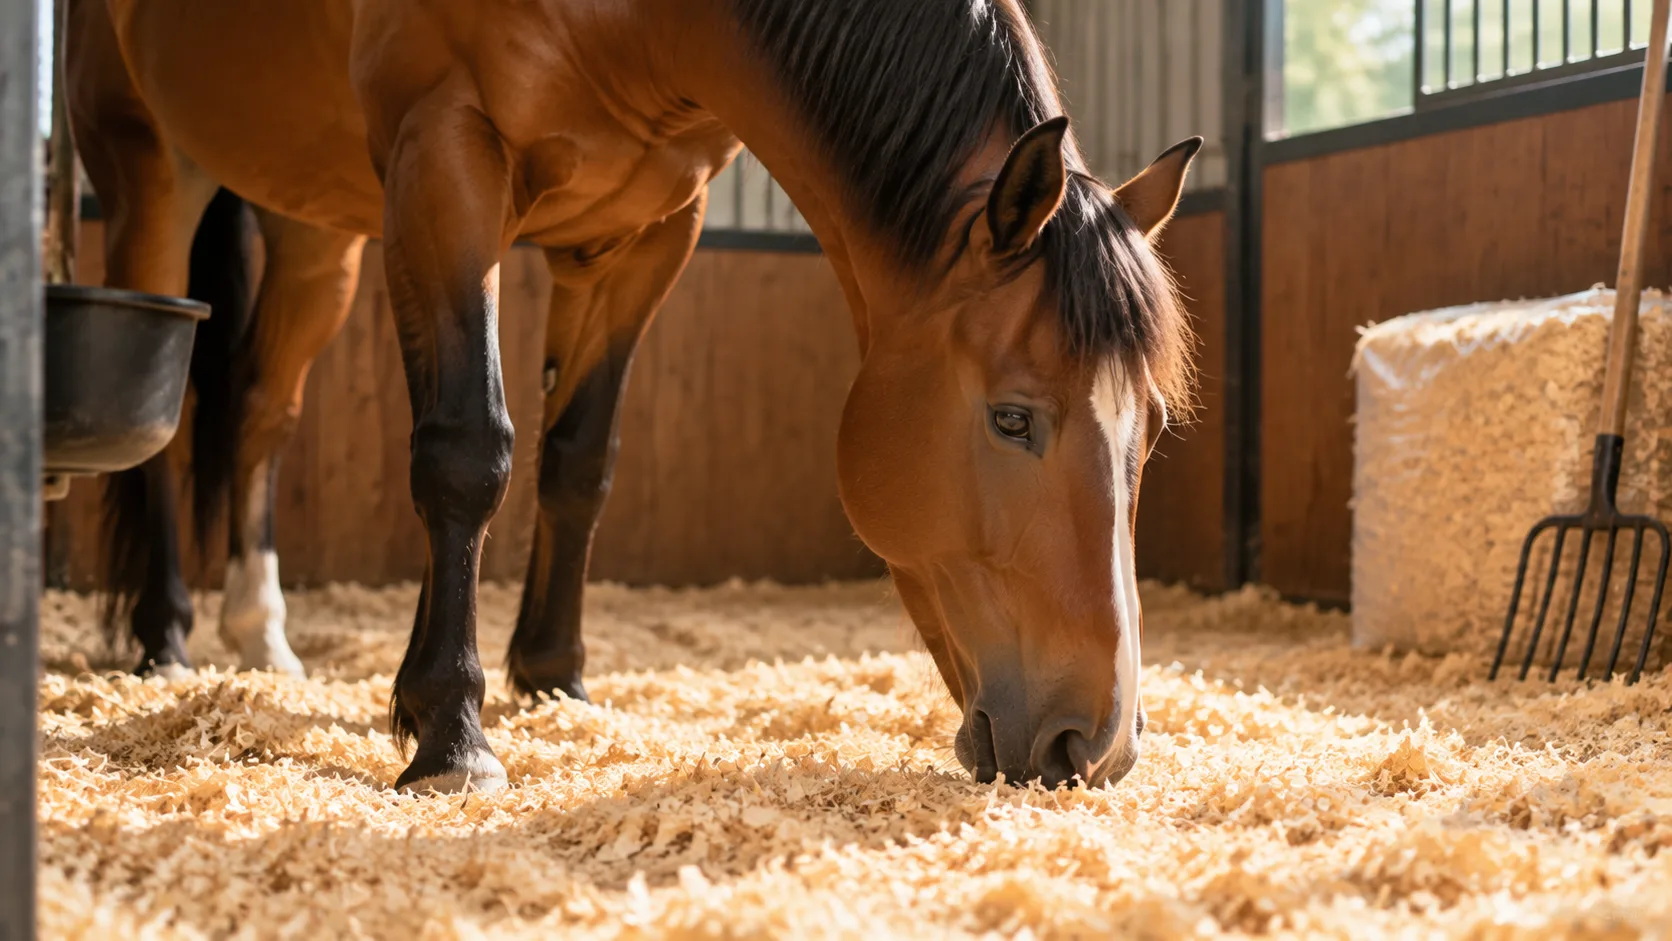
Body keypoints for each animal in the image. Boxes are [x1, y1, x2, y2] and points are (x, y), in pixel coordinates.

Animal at [67, 0, 1198, 793]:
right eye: (1012, 418)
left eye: (1145, 433)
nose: (1096, 742)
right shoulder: (447, 159)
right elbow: (468, 449)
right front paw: (450, 734)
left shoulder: (644, 232)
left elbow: (577, 460)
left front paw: (546, 674)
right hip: (151, 176)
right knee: (167, 415)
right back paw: (164, 634)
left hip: (319, 227)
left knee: (261, 411)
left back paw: (261, 633)